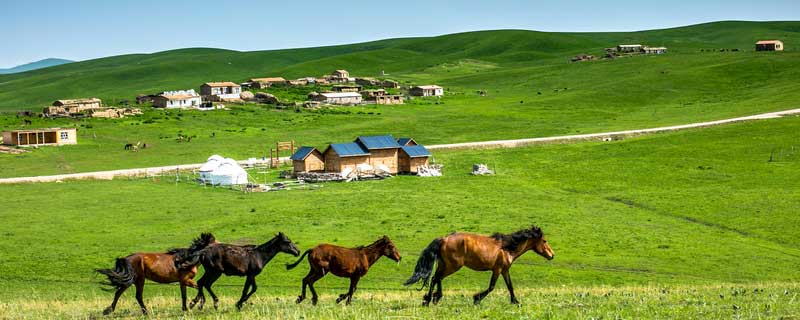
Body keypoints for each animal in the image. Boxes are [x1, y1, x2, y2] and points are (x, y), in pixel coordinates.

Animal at [404, 225, 552, 304]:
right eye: (544, 241)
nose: (552, 255)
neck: (507, 248)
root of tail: (444, 239)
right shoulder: (497, 269)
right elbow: (491, 287)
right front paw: (476, 299)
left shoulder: (505, 270)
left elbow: (510, 286)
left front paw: (515, 302)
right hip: (453, 266)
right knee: (436, 278)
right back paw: (430, 299)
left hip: (444, 265)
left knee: (436, 278)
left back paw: (432, 298)